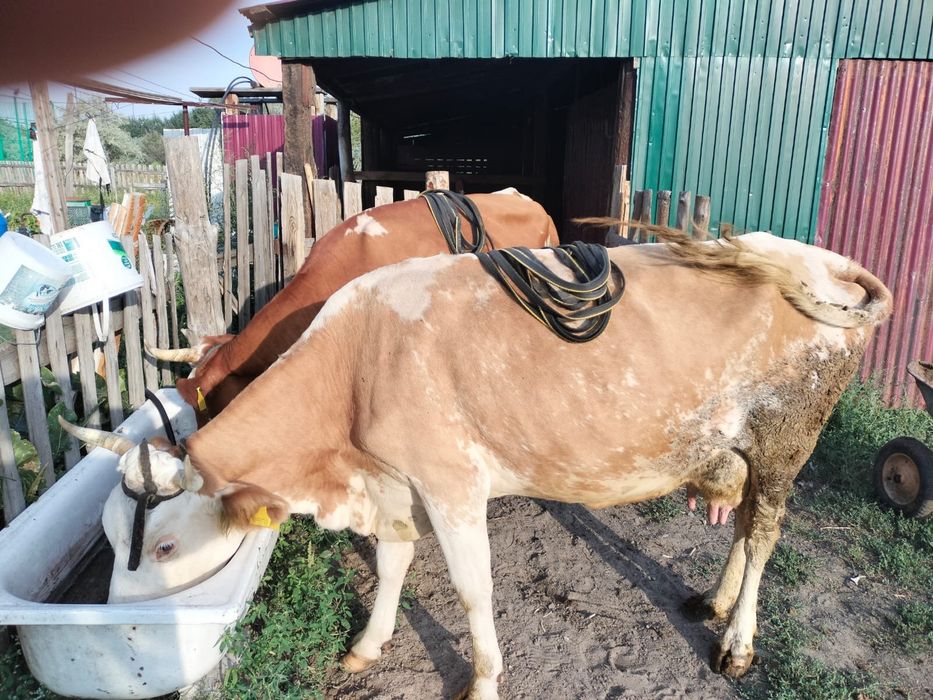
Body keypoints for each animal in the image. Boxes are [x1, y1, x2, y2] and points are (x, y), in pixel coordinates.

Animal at [63, 230, 892, 700]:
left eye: (164, 545)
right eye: (108, 538)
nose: (121, 635)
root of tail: (824, 258)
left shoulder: (450, 482)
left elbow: (470, 591)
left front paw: (484, 683)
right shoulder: (391, 480)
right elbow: (393, 561)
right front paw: (368, 645)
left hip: (787, 435)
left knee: (764, 534)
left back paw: (736, 643)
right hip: (738, 445)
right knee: (744, 526)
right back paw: (712, 603)